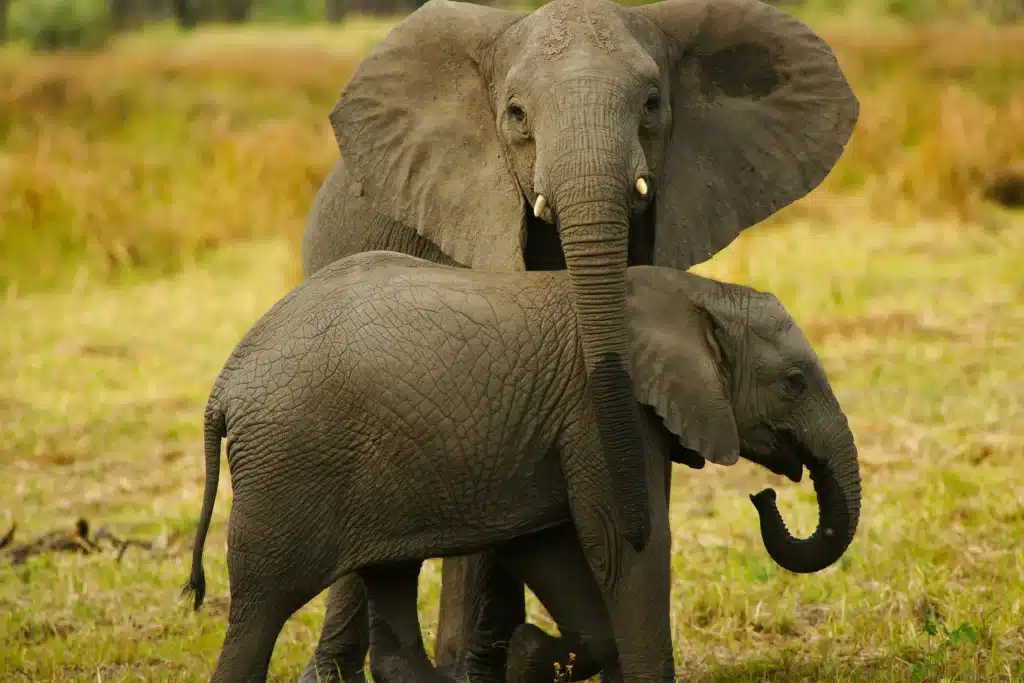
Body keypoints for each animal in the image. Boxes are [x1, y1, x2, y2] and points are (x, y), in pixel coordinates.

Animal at [186, 250, 864, 683]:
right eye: (794, 383)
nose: (764, 498)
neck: (692, 294)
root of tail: (223, 387)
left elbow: (549, 546)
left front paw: (528, 655)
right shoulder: (599, 410)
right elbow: (623, 546)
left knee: (389, 582)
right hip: (289, 467)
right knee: (259, 611)